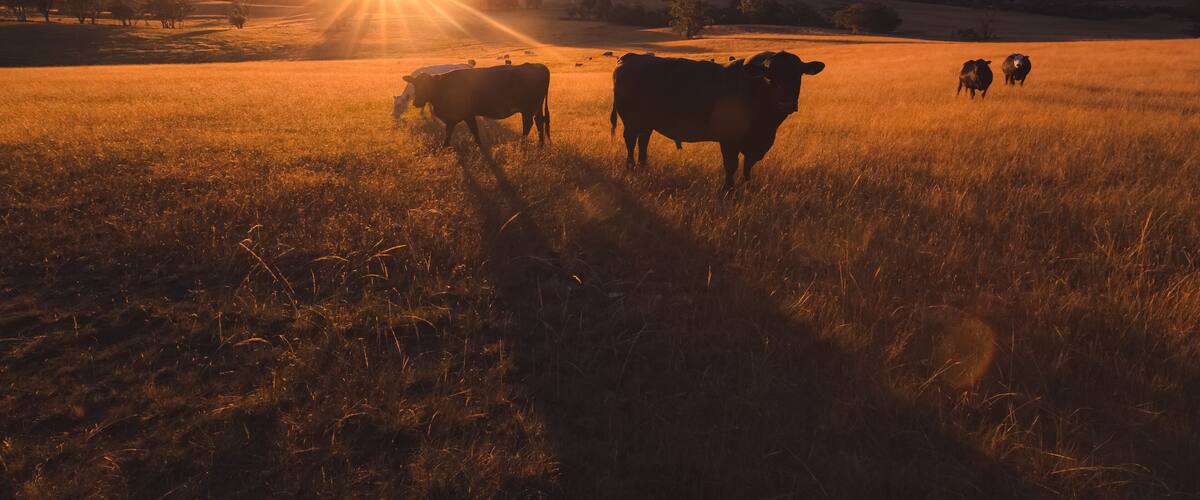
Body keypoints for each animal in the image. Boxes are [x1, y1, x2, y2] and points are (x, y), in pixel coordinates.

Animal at [403, 63, 551, 150]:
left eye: (428, 85)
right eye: (415, 85)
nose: (416, 102)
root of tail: (537, 65)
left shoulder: (466, 114)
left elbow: (473, 130)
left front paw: (479, 146)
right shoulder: (455, 117)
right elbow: (449, 131)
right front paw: (445, 147)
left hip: (527, 109)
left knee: (528, 124)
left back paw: (522, 144)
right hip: (536, 108)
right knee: (539, 121)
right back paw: (541, 144)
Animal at [610, 51, 825, 191]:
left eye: (798, 74)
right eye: (768, 75)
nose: (786, 102)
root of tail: (629, 57)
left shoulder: (756, 144)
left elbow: (748, 166)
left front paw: (747, 186)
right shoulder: (729, 139)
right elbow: (731, 165)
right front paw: (728, 190)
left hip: (647, 122)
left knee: (643, 141)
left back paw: (643, 166)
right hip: (630, 120)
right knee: (630, 141)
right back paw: (631, 167)